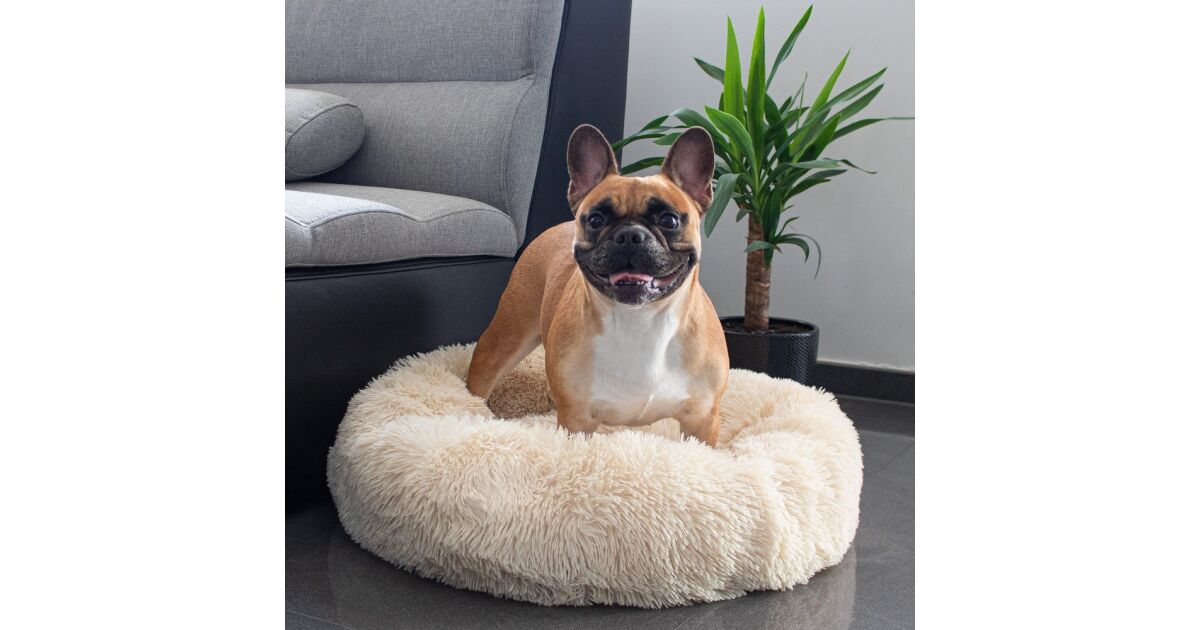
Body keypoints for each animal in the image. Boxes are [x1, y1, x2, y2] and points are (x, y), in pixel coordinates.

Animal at [466, 124, 729, 445]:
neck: (639, 321)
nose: (630, 236)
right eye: (595, 219)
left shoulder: (701, 421)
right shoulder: (577, 420)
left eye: (669, 220)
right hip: (507, 334)